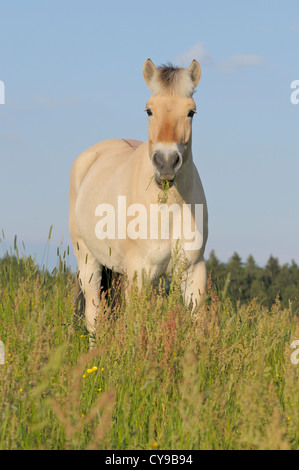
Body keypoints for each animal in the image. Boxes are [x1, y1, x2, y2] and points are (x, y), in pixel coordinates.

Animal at [69, 58, 209, 338]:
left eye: (191, 112)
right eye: (149, 111)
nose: (166, 163)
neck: (170, 209)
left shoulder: (193, 271)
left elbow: (198, 326)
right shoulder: (139, 274)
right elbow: (136, 326)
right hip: (88, 262)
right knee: (94, 318)